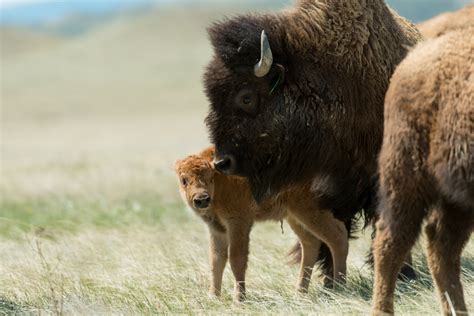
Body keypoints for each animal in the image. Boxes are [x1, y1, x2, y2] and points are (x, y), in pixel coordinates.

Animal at [176, 147, 350, 302]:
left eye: (210, 177)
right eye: (184, 180)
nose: (202, 199)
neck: (221, 183)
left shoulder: (238, 223)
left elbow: (236, 259)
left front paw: (239, 299)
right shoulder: (217, 229)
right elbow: (216, 260)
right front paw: (213, 296)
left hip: (308, 210)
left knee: (338, 237)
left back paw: (339, 287)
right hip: (294, 217)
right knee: (310, 243)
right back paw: (299, 293)